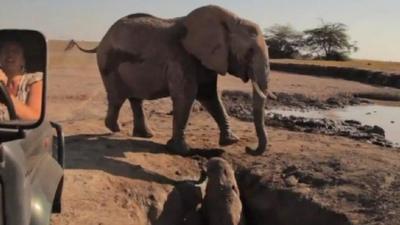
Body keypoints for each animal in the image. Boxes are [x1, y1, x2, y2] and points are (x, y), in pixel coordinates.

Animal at [69, 4, 270, 155]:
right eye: (250, 52)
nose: (248, 148)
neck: (230, 20)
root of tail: (100, 42)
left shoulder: (205, 59)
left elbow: (210, 96)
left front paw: (230, 142)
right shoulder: (180, 57)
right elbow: (186, 96)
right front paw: (181, 151)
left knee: (135, 99)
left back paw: (144, 135)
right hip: (108, 63)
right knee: (117, 97)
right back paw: (115, 128)